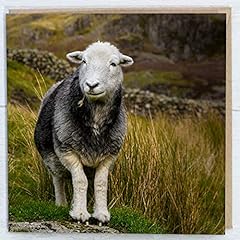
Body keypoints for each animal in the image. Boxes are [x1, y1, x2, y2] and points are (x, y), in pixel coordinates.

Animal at [34, 41, 133, 225]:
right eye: (84, 61)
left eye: (113, 64)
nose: (91, 85)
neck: (96, 121)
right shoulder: (67, 150)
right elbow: (80, 181)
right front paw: (79, 213)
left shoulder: (109, 156)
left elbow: (100, 183)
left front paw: (101, 214)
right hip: (53, 159)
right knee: (58, 178)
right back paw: (61, 203)